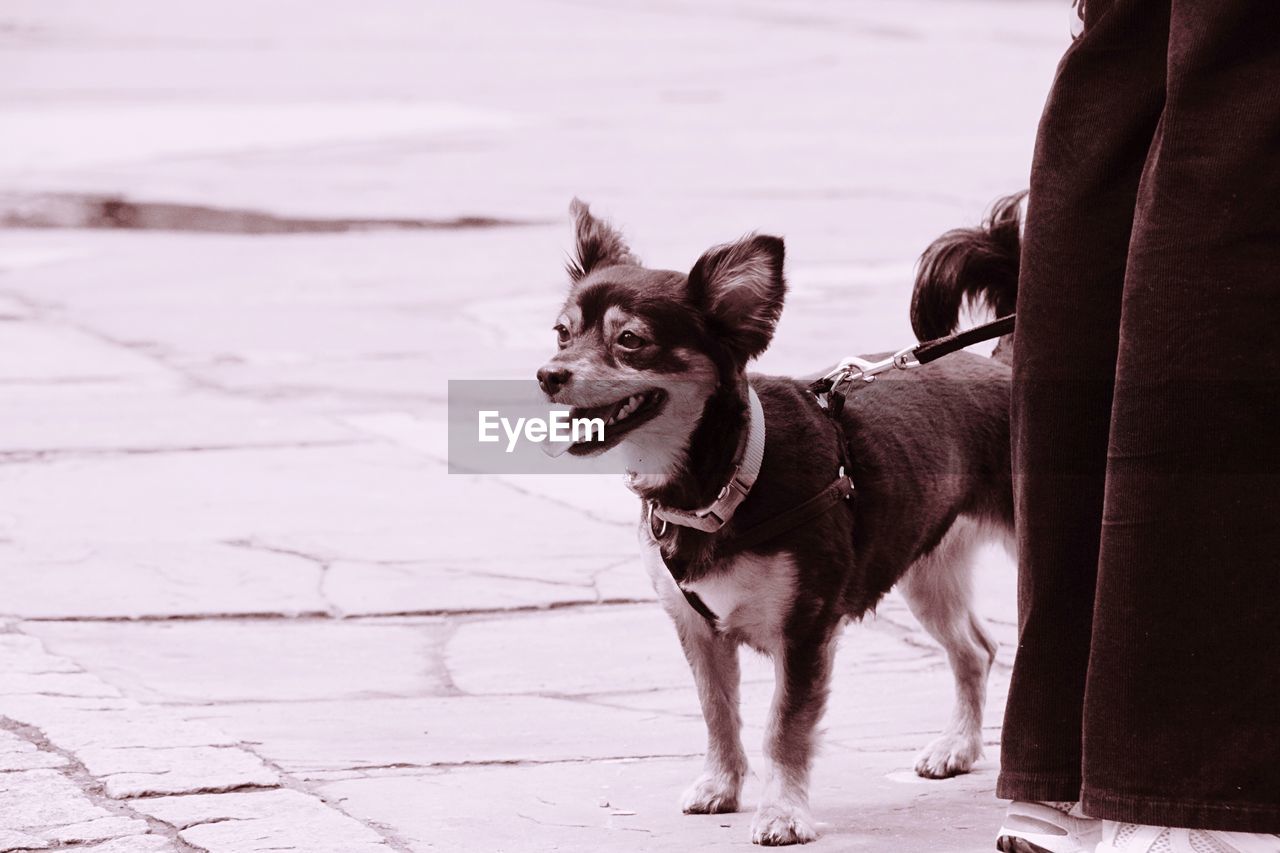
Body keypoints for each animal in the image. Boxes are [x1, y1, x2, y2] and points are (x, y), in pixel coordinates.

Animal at [537, 195, 1018, 840]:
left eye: (631, 340)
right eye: (562, 334)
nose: (548, 374)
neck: (724, 477)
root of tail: (1003, 365)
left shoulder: (805, 632)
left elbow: (784, 728)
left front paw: (783, 813)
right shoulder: (698, 631)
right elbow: (718, 713)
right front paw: (720, 786)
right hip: (927, 572)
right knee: (976, 650)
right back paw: (958, 748)